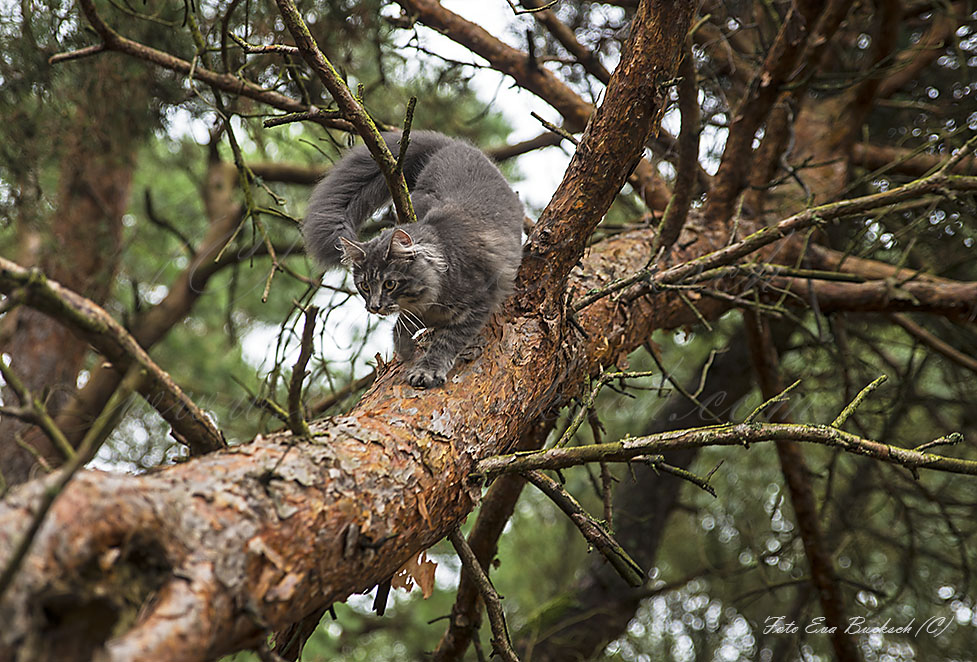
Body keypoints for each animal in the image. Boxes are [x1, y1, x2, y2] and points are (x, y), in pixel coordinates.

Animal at [304, 130, 524, 390]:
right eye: (365, 286)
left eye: (390, 284)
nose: (374, 307)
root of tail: (452, 143)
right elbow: (402, 323)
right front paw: (406, 350)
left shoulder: (481, 299)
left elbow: (448, 340)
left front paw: (427, 370)